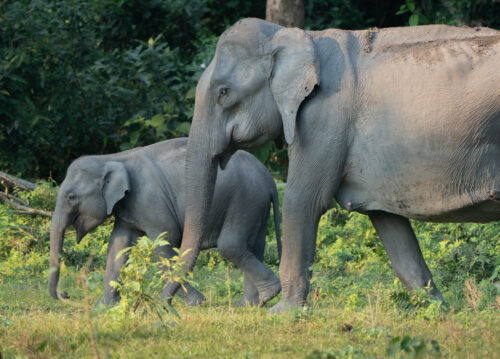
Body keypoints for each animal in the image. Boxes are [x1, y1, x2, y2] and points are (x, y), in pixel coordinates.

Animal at [47, 138, 282, 306]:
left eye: (71, 197)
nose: (65, 294)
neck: (114, 157)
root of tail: (269, 178)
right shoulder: (127, 208)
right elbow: (118, 247)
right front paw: (104, 306)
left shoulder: (151, 201)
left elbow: (163, 244)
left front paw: (195, 303)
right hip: (256, 206)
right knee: (254, 247)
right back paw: (250, 304)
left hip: (245, 199)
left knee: (231, 245)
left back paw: (263, 296)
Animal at [162, 18, 498, 314]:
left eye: (224, 93)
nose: (166, 306)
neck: (303, 36)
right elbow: (389, 223)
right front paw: (438, 311)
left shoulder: (323, 120)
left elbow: (301, 202)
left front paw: (283, 313)